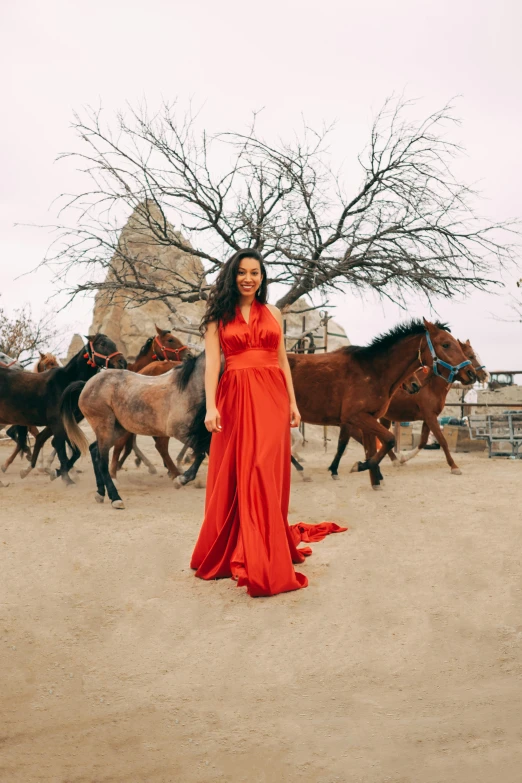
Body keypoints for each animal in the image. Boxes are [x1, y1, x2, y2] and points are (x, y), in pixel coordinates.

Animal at [0, 332, 125, 484]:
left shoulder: (65, 423)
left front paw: (54, 472)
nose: (122, 362)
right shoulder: (58, 423)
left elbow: (70, 450)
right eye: (102, 344)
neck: (65, 383)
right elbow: (61, 448)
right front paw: (66, 478)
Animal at [60, 354, 205, 508]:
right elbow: (201, 452)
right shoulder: (180, 431)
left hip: (118, 430)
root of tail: (86, 384)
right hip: (105, 426)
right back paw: (115, 498)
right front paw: (181, 479)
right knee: (102, 460)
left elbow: (202, 453)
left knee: (94, 450)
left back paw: (100, 493)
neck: (190, 387)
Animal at [284, 318, 476, 490]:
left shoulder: (369, 419)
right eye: (446, 344)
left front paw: (375, 479)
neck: (373, 371)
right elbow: (389, 440)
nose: (471, 374)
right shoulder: (356, 417)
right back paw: (303, 472)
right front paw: (360, 466)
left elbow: (371, 448)